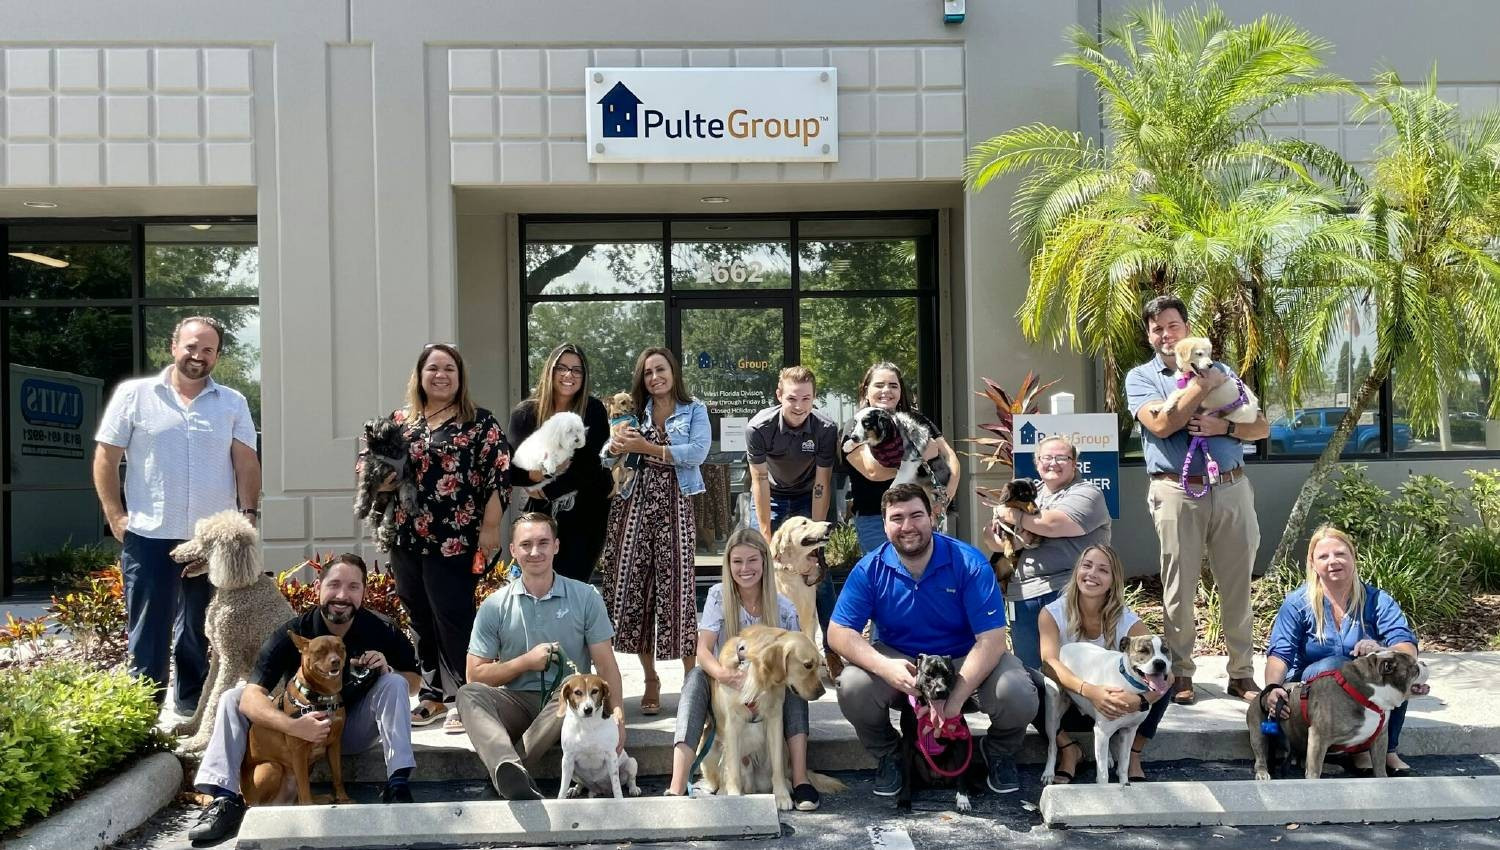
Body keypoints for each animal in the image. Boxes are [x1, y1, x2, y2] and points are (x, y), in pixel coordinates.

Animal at [170, 509, 292, 755]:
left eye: (202, 539)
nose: (172, 554)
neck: (241, 587)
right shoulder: (218, 654)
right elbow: (206, 693)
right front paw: (190, 728)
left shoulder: (231, 657)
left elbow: (215, 699)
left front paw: (199, 741)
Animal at [241, 635, 349, 809]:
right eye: (320, 651)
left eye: (341, 648)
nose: (336, 661)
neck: (321, 698)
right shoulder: (298, 750)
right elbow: (304, 785)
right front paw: (308, 807)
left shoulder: (334, 743)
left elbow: (338, 775)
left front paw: (344, 799)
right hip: (271, 767)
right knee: (266, 802)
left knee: (297, 797)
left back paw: (320, 799)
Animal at [355, 416, 420, 551]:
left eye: (370, 429)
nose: (364, 434)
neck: (387, 450)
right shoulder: (369, 471)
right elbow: (365, 492)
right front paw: (361, 508)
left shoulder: (406, 477)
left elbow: (409, 493)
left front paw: (411, 506)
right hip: (375, 513)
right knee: (376, 528)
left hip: (389, 511)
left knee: (384, 527)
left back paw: (384, 541)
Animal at [555, 674, 642, 803]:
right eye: (577, 692)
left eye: (595, 691)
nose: (588, 709)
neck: (587, 724)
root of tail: (599, 790)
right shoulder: (567, 759)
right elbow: (563, 786)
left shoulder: (611, 757)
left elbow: (616, 786)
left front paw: (620, 800)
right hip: (573, 771)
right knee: (581, 783)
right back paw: (575, 789)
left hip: (631, 762)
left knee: (630, 780)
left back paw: (633, 789)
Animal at [894, 656, 990, 815]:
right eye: (928, 674)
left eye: (948, 674)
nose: (941, 691)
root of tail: (937, 781)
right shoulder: (907, 743)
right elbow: (906, 774)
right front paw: (904, 799)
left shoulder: (960, 742)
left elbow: (961, 775)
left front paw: (963, 799)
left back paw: (973, 788)